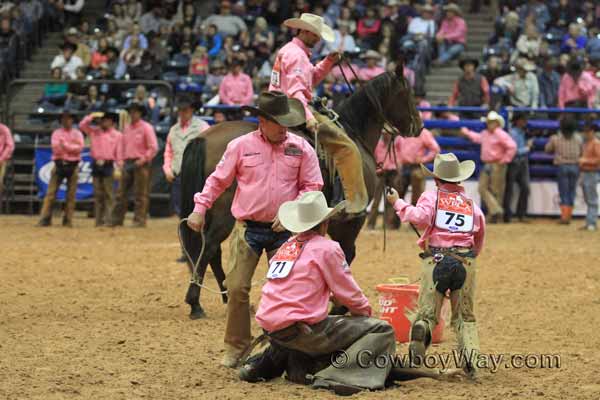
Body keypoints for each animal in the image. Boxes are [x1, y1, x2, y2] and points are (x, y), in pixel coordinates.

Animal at [178, 66, 422, 322]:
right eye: (407, 93)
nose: (419, 126)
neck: (355, 132)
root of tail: (203, 138)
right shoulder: (350, 220)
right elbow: (346, 253)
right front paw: (339, 305)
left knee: (210, 250)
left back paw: (226, 297)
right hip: (224, 214)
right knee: (209, 247)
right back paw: (196, 302)